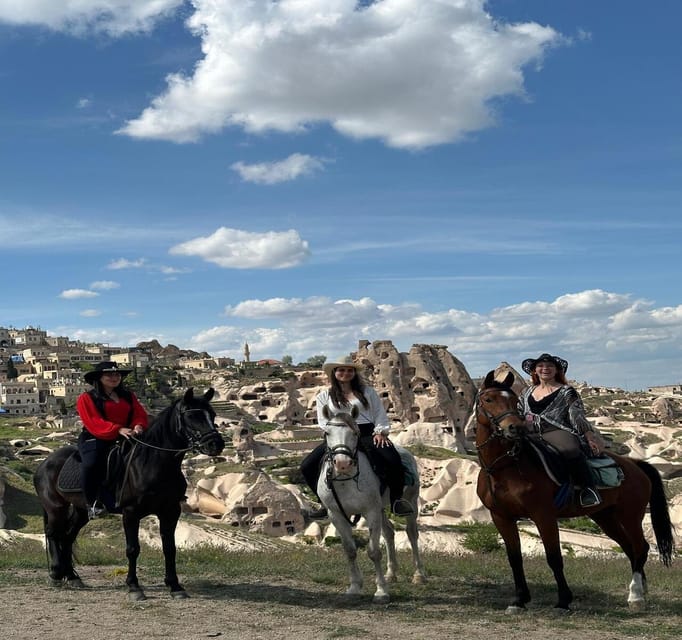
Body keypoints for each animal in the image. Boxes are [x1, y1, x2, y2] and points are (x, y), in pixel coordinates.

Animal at [33, 388, 224, 604]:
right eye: (192, 416)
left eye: (212, 415)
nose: (216, 444)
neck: (153, 464)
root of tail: (45, 462)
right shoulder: (131, 513)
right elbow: (132, 549)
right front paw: (134, 587)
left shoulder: (170, 511)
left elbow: (169, 548)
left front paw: (175, 586)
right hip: (55, 507)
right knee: (53, 534)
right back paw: (56, 574)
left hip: (82, 511)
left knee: (66, 537)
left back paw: (72, 576)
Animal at [316, 408, 422, 604]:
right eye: (327, 433)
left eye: (354, 433)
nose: (342, 464)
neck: (346, 481)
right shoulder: (336, 515)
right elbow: (350, 550)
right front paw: (354, 587)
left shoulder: (370, 511)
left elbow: (373, 552)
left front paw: (381, 591)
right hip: (380, 509)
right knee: (389, 532)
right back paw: (391, 573)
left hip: (410, 502)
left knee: (412, 534)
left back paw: (419, 574)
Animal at [476, 372, 672, 612]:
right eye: (488, 399)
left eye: (514, 402)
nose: (515, 428)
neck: (505, 468)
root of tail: (635, 465)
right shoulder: (501, 517)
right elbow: (514, 558)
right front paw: (519, 600)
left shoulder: (543, 515)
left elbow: (554, 557)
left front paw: (563, 600)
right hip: (605, 516)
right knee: (629, 547)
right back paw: (641, 590)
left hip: (631, 515)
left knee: (640, 547)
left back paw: (635, 596)